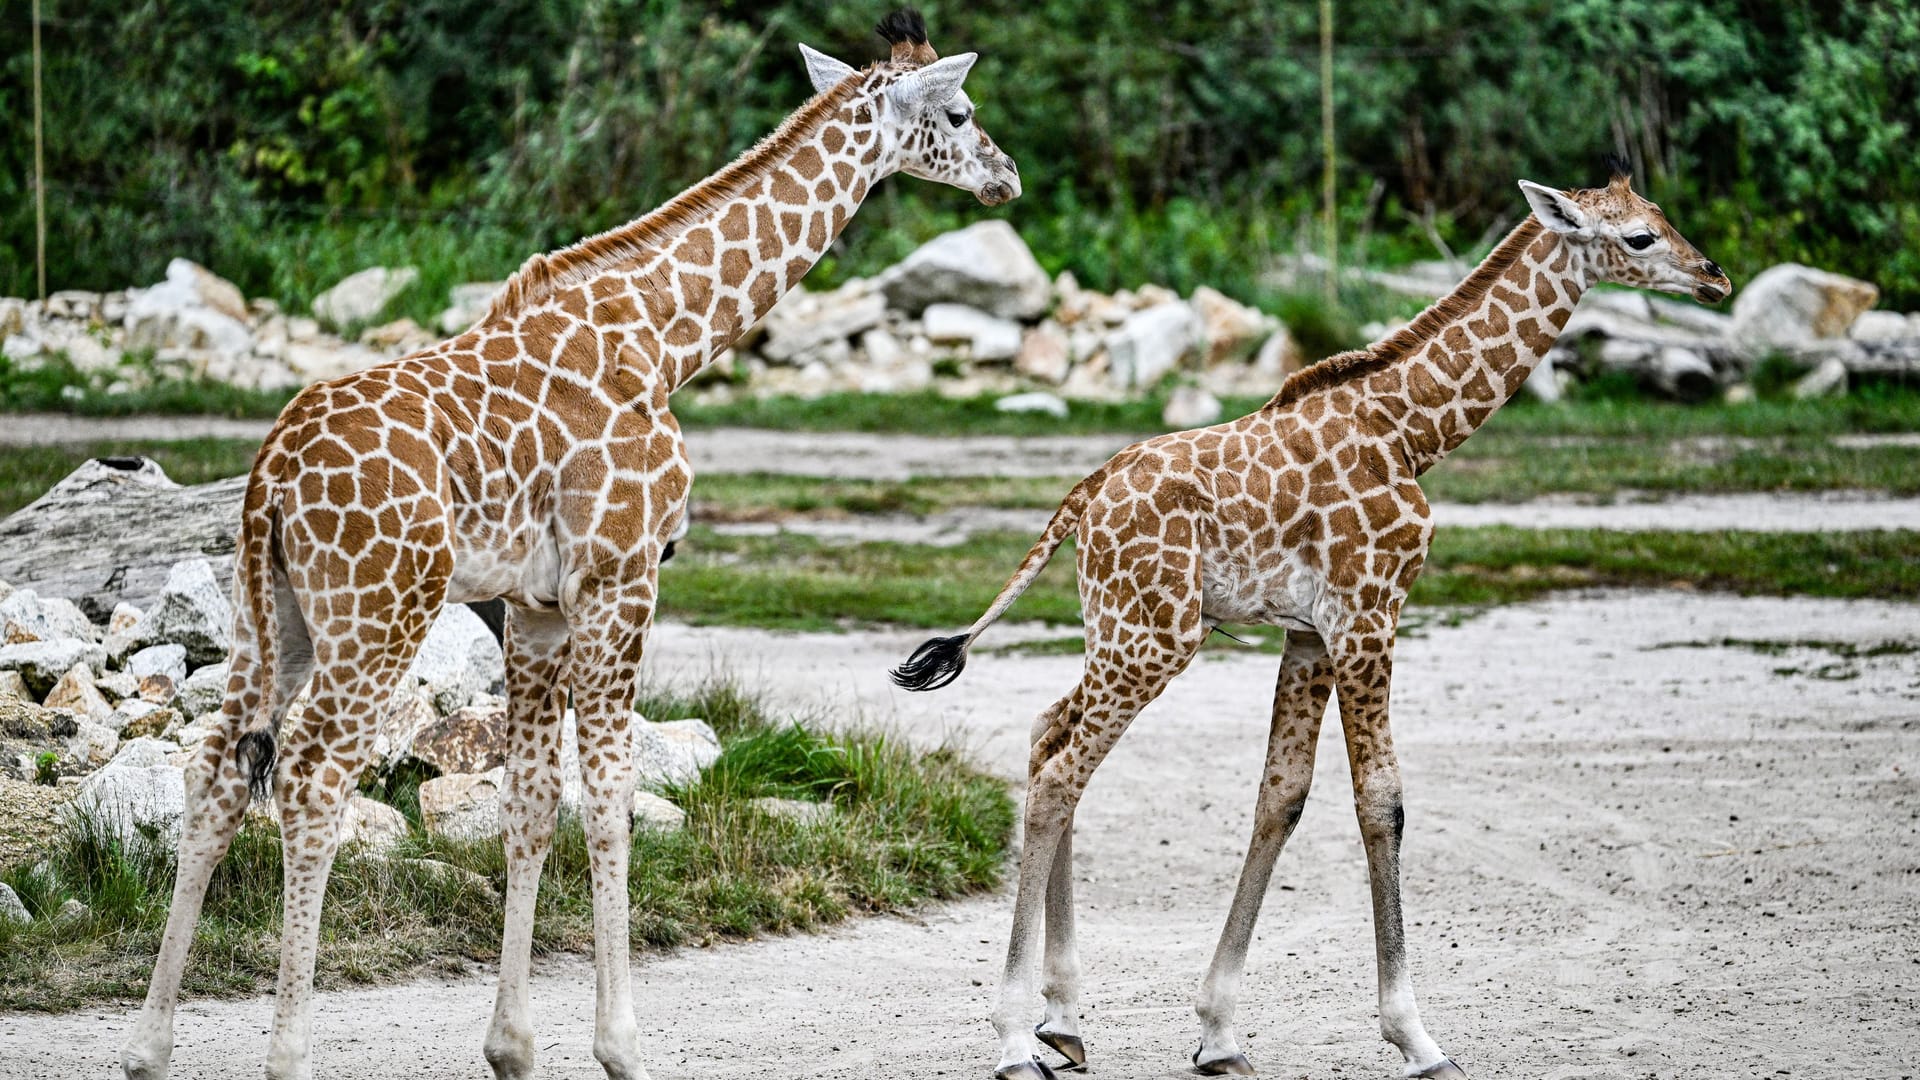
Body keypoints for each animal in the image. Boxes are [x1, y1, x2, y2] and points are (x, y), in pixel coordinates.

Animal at [116, 10, 1021, 1076]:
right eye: (959, 113)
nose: (1005, 176)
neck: (666, 337)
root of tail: (268, 474)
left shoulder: (537, 605)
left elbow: (532, 799)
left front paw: (513, 1046)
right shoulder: (622, 576)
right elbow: (614, 790)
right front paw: (622, 1044)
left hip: (278, 616)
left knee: (214, 773)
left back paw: (147, 1048)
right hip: (379, 611)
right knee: (310, 781)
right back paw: (288, 1054)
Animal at [890, 166, 1735, 1076]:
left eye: (1662, 218)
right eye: (1640, 237)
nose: (1715, 278)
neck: (1413, 428)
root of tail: (1081, 499)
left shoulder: (1310, 632)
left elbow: (1282, 797)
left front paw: (1220, 1032)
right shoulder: (1370, 611)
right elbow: (1382, 802)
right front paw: (1416, 1036)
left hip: (1122, 625)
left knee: (1049, 730)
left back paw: (1065, 1019)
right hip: (1155, 636)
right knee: (1059, 774)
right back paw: (1016, 1037)